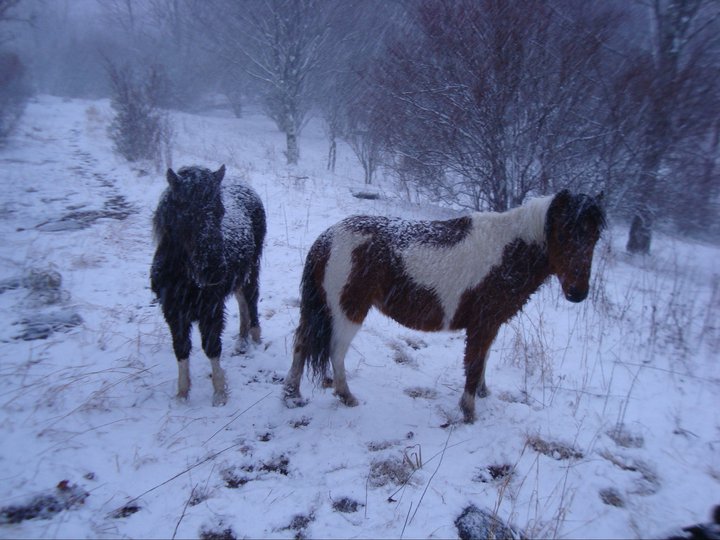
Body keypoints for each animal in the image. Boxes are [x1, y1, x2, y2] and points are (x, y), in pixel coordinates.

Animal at [150, 165, 266, 404]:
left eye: (220, 211)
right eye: (186, 213)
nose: (214, 269)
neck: (184, 279)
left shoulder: (210, 309)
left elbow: (211, 347)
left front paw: (220, 394)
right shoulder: (173, 312)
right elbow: (181, 349)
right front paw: (182, 394)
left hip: (251, 269)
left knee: (251, 299)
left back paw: (255, 337)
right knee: (242, 300)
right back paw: (242, 340)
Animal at [284, 190, 604, 422]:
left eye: (595, 237)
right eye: (563, 233)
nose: (578, 293)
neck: (508, 253)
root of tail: (328, 239)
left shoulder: (489, 325)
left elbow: (483, 360)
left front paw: (483, 393)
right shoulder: (482, 324)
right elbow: (474, 364)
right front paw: (469, 411)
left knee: (301, 342)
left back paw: (292, 393)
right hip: (347, 312)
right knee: (336, 352)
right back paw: (345, 395)